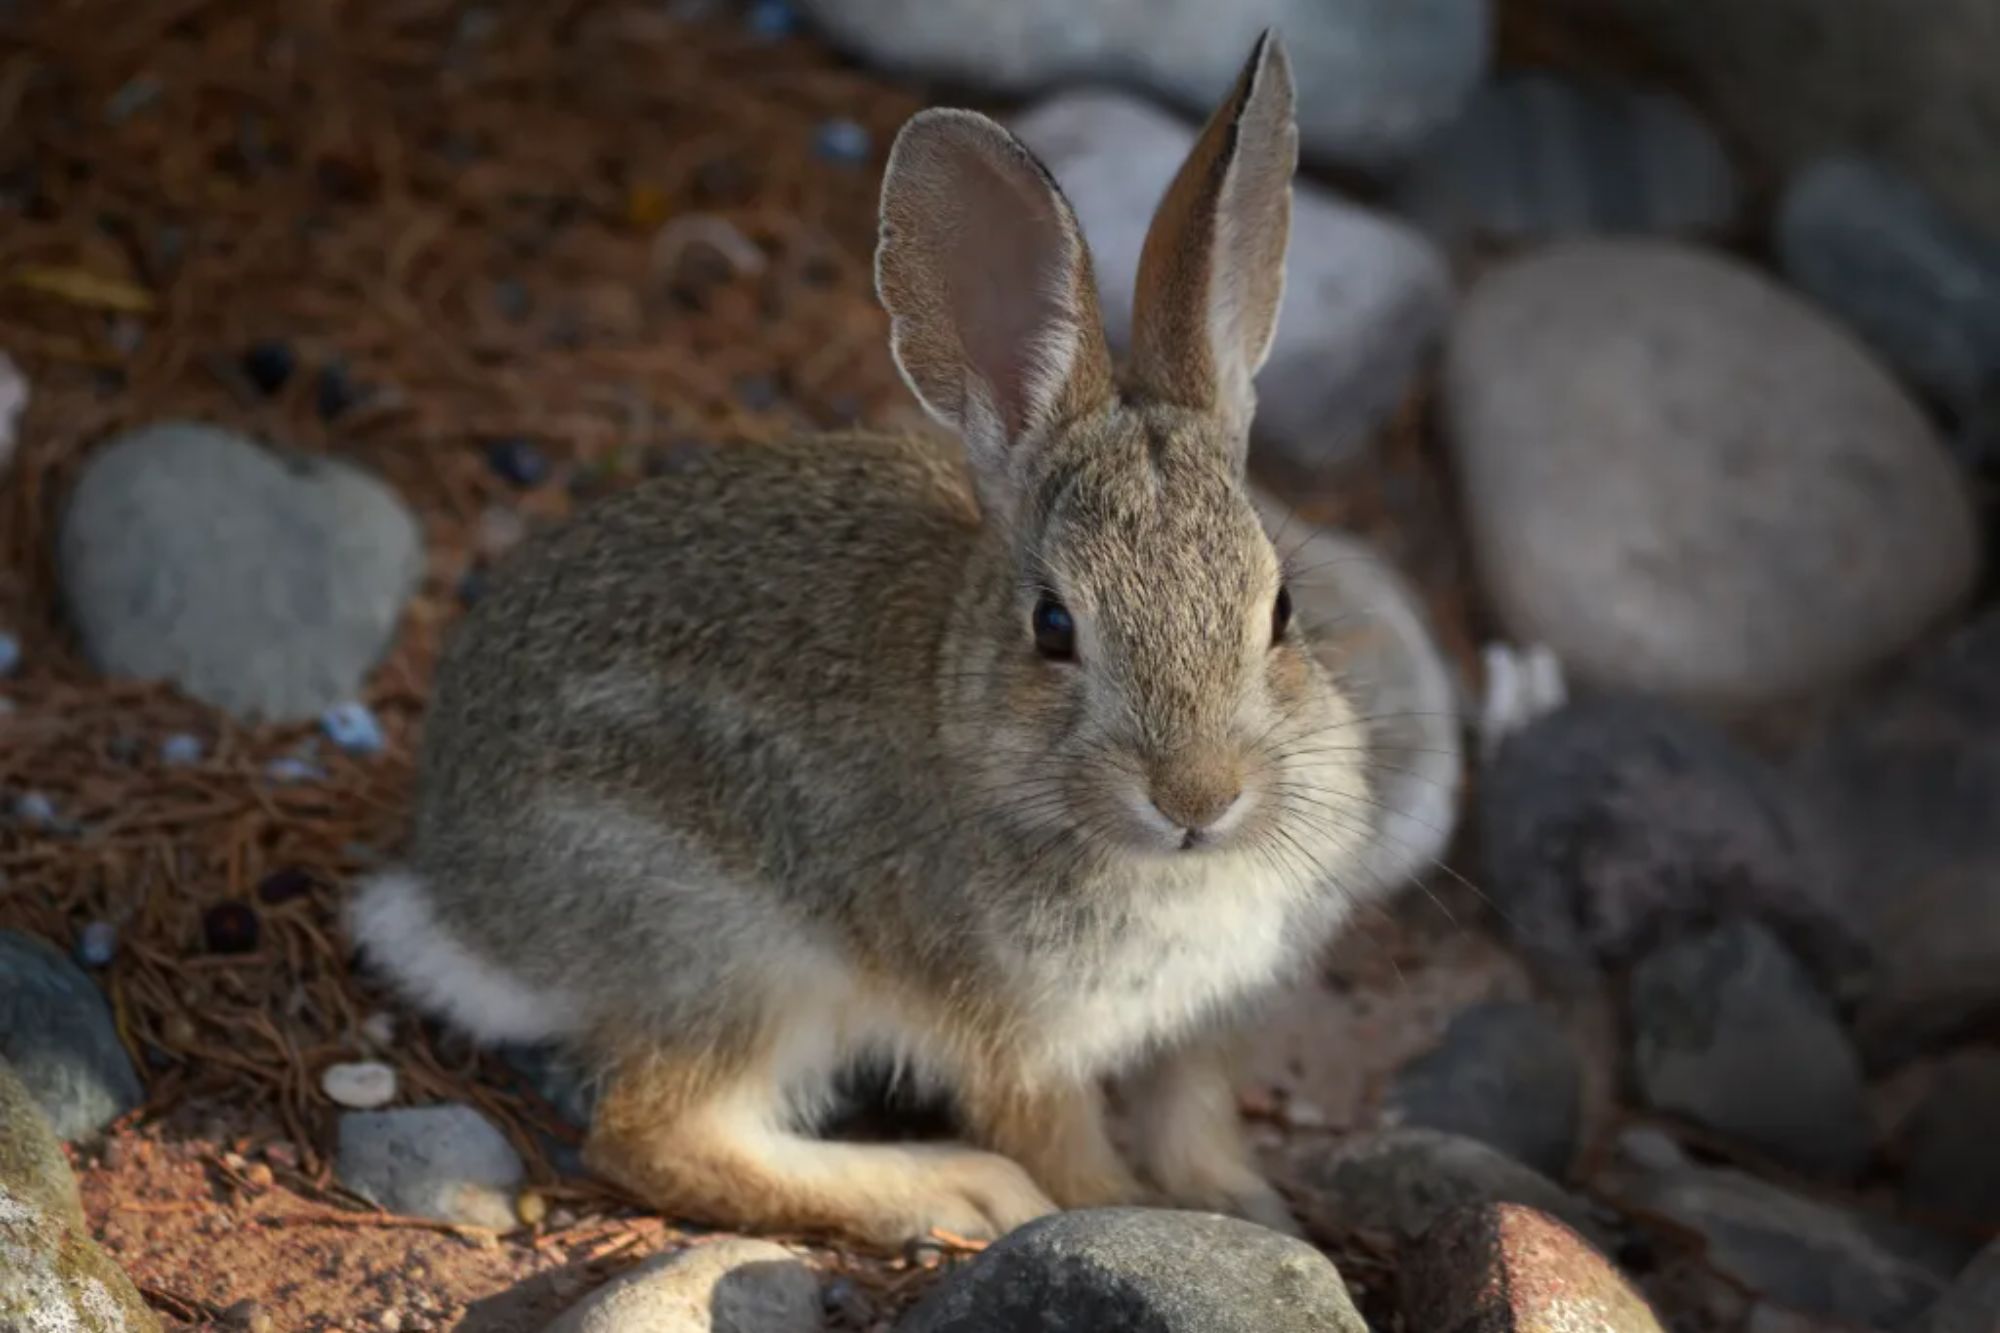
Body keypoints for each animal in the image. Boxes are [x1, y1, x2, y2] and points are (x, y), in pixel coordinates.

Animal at [349, 31, 1394, 1247]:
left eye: (1280, 612)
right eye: (1052, 627)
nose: (1199, 798)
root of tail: (457, 900)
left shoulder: (1202, 1028)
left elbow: (1197, 1119)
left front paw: (1249, 1209)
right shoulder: (1017, 1040)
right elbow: (1068, 1155)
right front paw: (1123, 1210)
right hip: (740, 952)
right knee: (654, 1135)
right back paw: (949, 1189)